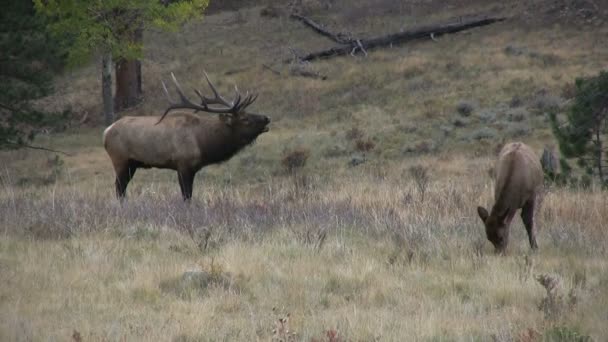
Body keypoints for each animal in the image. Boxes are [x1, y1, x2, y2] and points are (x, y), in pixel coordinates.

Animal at [103, 72, 270, 200]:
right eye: (245, 119)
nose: (267, 118)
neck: (203, 143)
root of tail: (106, 132)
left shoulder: (193, 168)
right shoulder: (183, 164)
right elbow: (186, 195)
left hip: (132, 164)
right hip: (120, 159)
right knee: (119, 188)